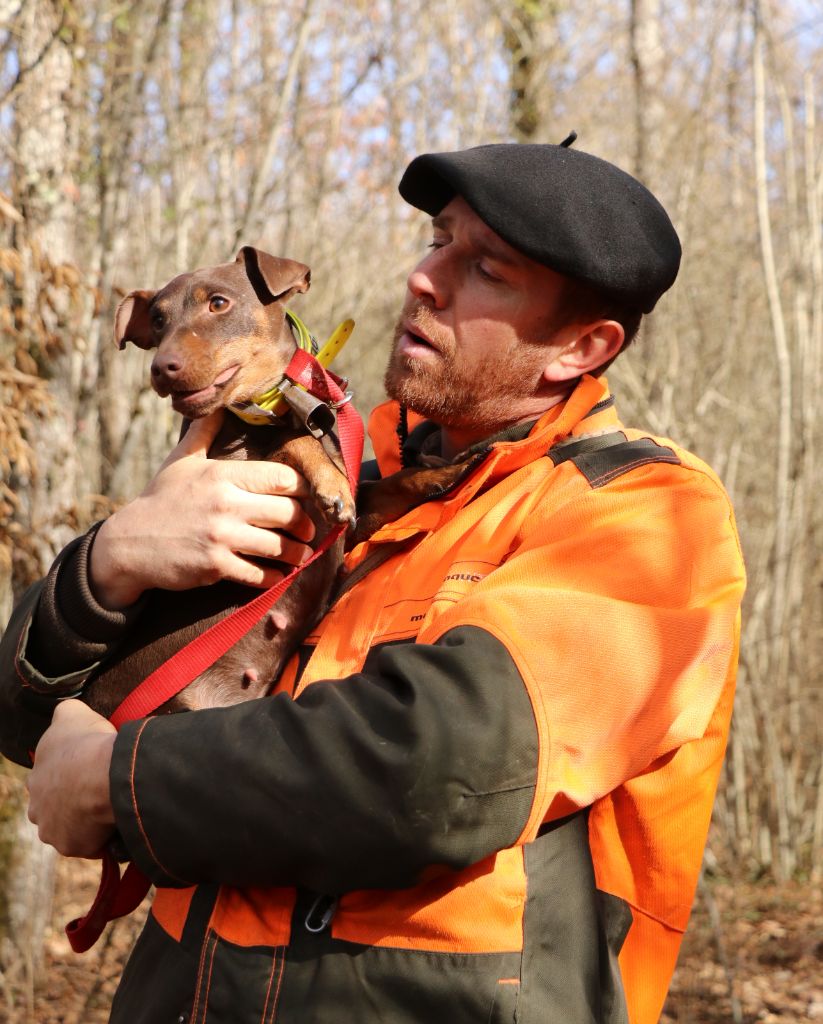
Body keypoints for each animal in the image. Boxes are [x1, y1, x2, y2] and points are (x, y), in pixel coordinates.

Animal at [83, 243, 356, 716]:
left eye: (218, 303)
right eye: (158, 321)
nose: (161, 368)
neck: (276, 405)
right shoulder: (240, 466)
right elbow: (296, 442)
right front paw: (332, 484)